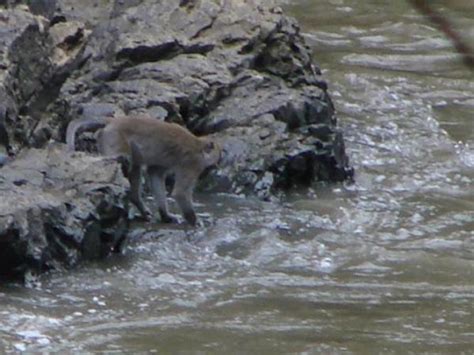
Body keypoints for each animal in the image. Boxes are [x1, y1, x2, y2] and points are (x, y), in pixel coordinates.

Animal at [65, 117, 221, 227]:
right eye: (218, 155)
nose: (218, 164)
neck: (199, 146)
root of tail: (113, 120)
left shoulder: (164, 165)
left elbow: (155, 175)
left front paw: (166, 216)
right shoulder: (192, 164)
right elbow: (180, 192)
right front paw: (195, 221)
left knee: (135, 166)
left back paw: (139, 205)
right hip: (114, 139)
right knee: (126, 161)